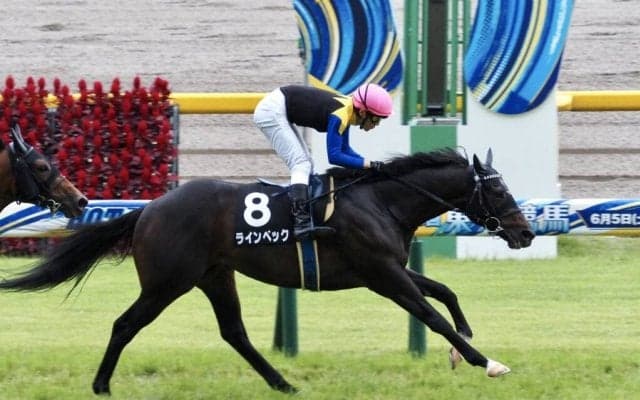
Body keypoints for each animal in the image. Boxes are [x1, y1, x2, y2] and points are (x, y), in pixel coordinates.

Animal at [0, 148, 534, 395]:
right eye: (499, 191)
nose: (526, 232)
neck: (381, 201)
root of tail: (150, 208)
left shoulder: (385, 270)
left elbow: (445, 293)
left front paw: (462, 346)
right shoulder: (383, 275)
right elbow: (432, 313)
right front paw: (485, 361)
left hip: (215, 275)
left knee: (234, 332)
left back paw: (283, 383)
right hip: (168, 281)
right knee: (124, 324)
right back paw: (102, 385)